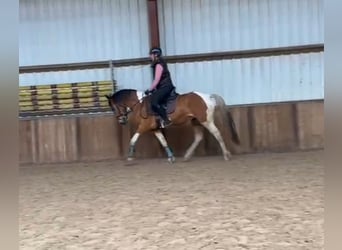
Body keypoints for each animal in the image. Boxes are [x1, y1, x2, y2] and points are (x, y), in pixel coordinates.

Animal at [105, 89, 240, 163]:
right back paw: (186, 156)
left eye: (114, 107)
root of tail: (208, 96)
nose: (121, 120)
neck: (140, 104)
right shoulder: (155, 129)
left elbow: (133, 139)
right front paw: (171, 158)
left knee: (217, 133)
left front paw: (129, 157)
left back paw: (226, 155)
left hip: (206, 121)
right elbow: (163, 141)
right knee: (198, 137)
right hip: (195, 121)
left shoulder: (144, 126)